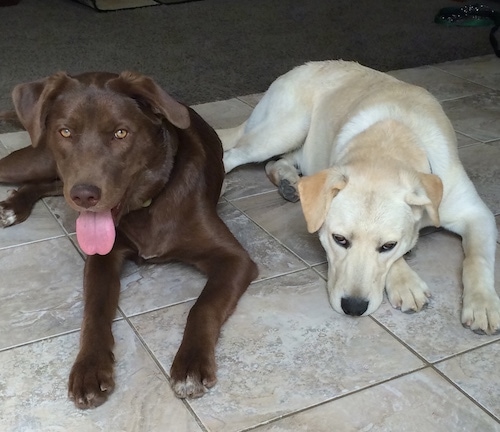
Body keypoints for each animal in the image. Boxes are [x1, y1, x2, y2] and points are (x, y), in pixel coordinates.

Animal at [0, 71, 258, 408]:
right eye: (65, 131)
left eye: (121, 133)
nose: (84, 195)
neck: (146, 204)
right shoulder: (102, 257)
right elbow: (95, 310)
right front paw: (90, 367)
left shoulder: (234, 258)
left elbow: (202, 307)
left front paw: (190, 365)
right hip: (38, 162)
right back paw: (12, 206)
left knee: (50, 184)